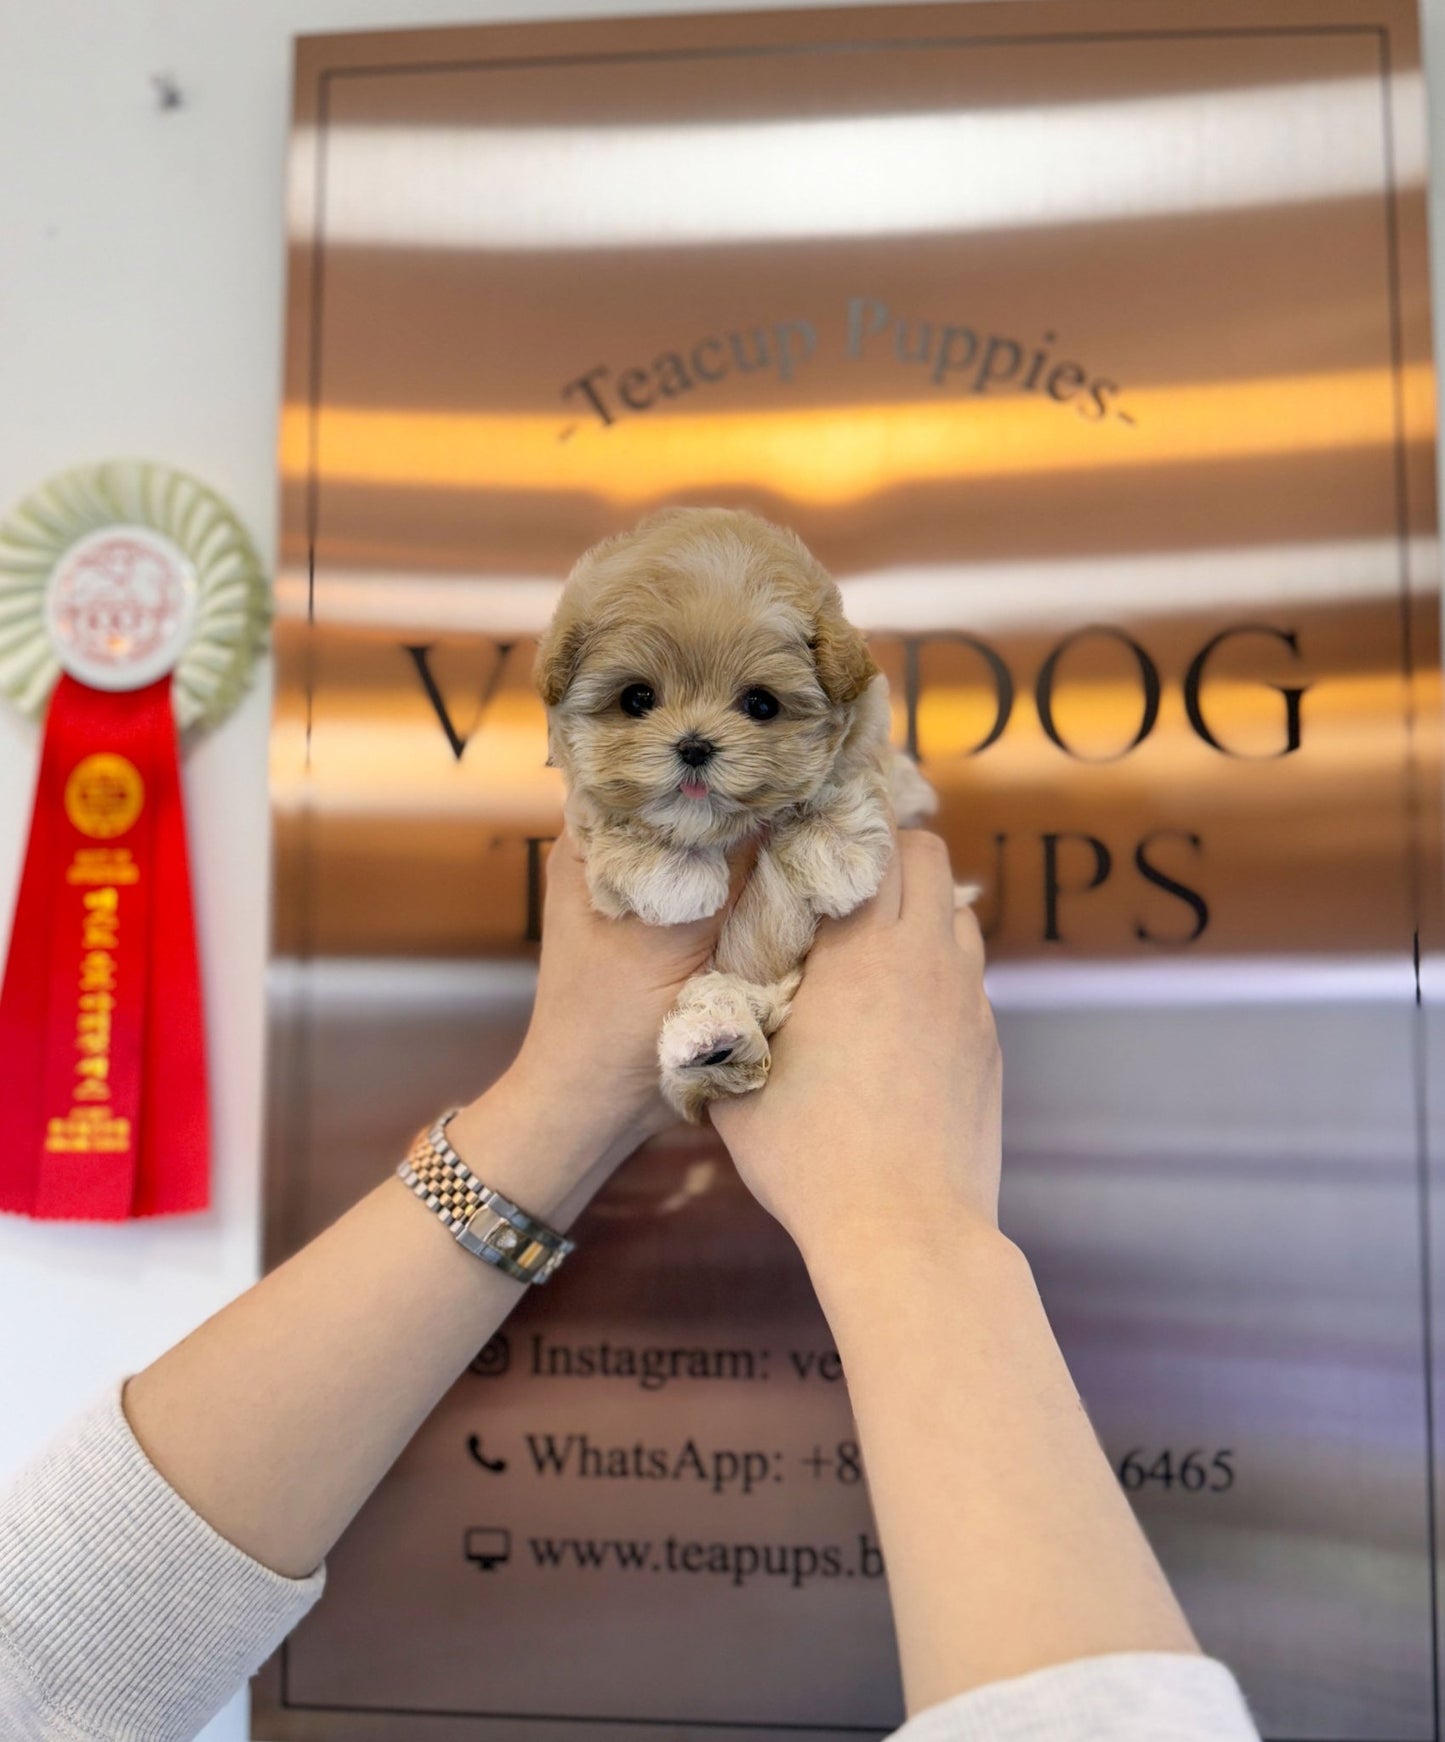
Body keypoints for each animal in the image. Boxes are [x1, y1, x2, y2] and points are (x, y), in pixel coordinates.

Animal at [539, 508, 940, 1121]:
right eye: (636, 699)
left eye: (760, 703)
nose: (695, 745)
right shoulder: (586, 810)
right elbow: (613, 817)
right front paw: (672, 872)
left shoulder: (874, 742)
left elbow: (847, 773)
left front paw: (834, 851)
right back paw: (712, 1041)